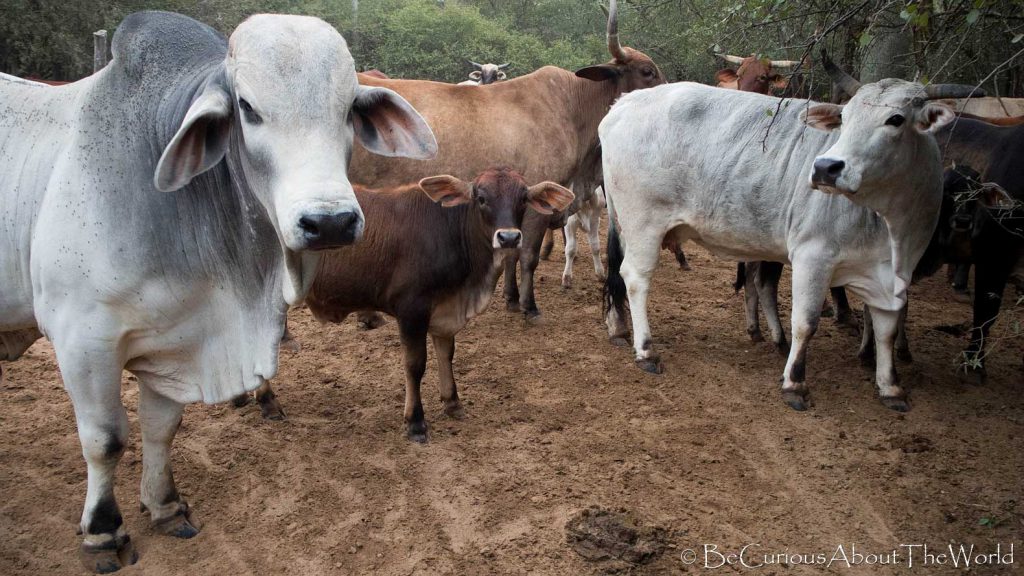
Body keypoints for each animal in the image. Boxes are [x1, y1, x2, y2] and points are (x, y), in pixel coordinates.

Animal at [0, 10, 436, 569]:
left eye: (347, 109)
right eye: (247, 108)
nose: (329, 222)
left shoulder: (180, 336)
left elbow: (161, 428)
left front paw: (165, 507)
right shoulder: (82, 339)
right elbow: (105, 440)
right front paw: (103, 532)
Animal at [602, 78, 978, 409]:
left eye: (896, 119)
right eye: (845, 117)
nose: (826, 167)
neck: (891, 226)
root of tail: (624, 103)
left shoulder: (892, 275)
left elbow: (886, 329)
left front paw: (890, 387)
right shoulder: (813, 256)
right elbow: (805, 322)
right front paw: (795, 383)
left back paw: (617, 328)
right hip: (643, 224)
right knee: (635, 278)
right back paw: (646, 349)